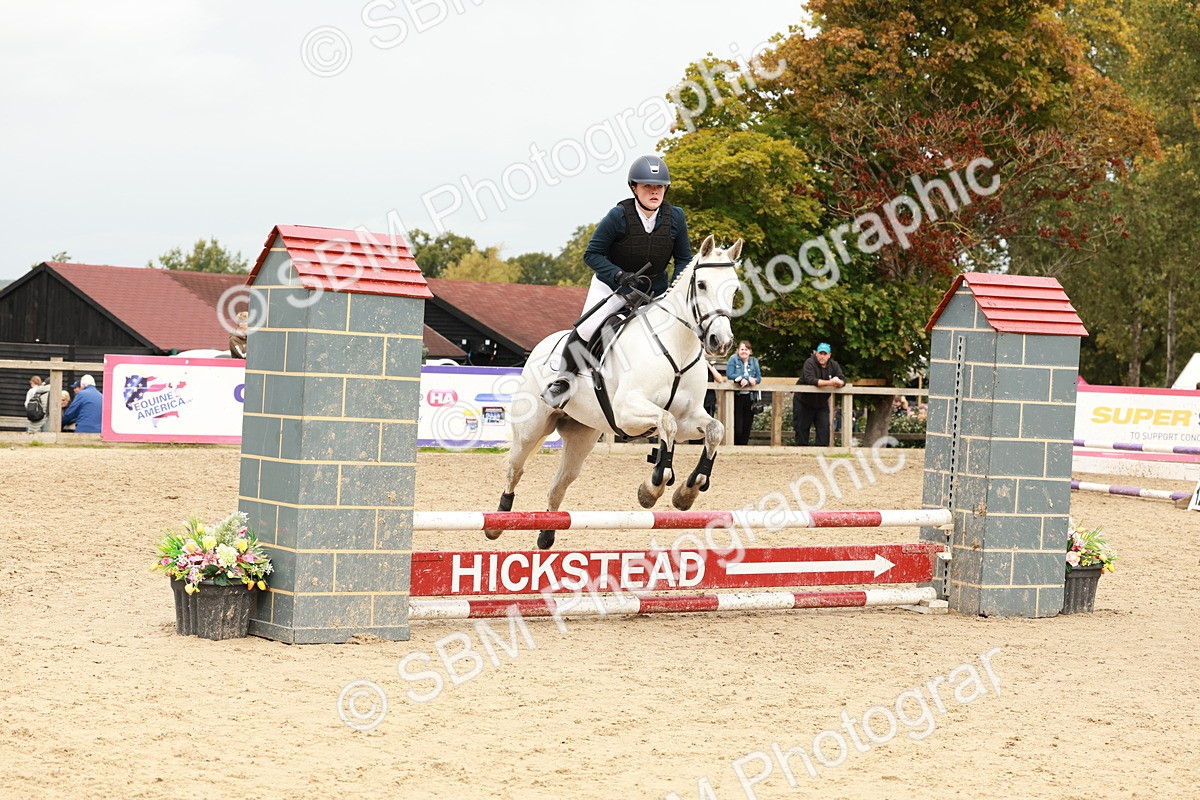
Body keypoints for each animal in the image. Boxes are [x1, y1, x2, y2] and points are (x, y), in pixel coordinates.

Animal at [487, 234, 743, 549]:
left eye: (735, 289)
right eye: (703, 284)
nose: (721, 342)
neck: (677, 346)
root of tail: (541, 346)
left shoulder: (689, 418)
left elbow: (714, 430)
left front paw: (687, 491)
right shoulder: (626, 412)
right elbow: (666, 424)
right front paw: (652, 488)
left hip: (581, 436)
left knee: (560, 482)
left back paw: (547, 534)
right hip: (530, 429)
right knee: (516, 468)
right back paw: (498, 521)